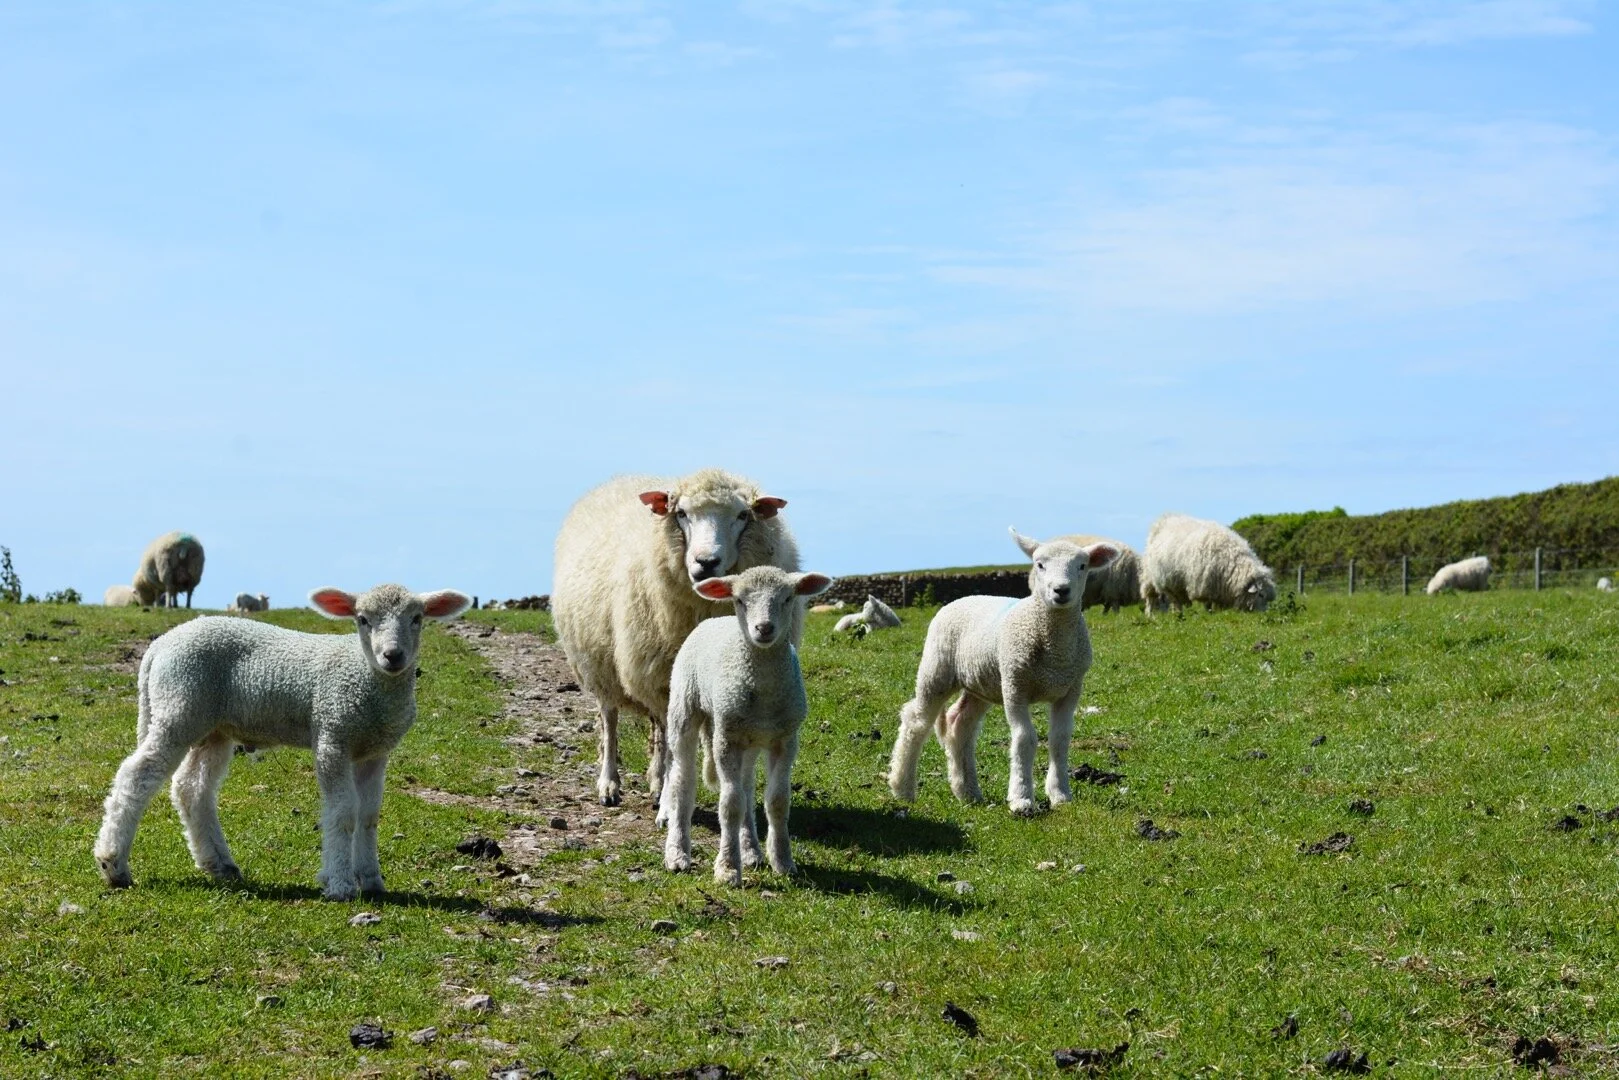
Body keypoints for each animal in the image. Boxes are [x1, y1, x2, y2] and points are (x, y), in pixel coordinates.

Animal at [93, 584, 472, 899]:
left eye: (417, 618)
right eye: (363, 619)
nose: (393, 656)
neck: (366, 679)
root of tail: (159, 646)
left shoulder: (374, 751)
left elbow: (368, 814)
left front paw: (371, 880)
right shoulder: (332, 735)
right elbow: (343, 811)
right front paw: (340, 883)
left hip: (214, 727)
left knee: (191, 788)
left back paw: (219, 863)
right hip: (179, 707)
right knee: (136, 775)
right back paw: (114, 864)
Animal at [552, 469, 801, 807]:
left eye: (742, 515)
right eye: (681, 513)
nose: (706, 562)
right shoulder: (659, 676)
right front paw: (669, 789)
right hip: (601, 666)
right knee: (610, 720)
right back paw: (610, 783)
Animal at [655, 566, 833, 885]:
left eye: (788, 598)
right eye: (739, 600)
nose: (764, 628)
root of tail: (713, 620)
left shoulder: (785, 739)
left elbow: (776, 801)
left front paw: (783, 861)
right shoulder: (727, 739)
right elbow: (731, 804)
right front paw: (727, 868)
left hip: (748, 738)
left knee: (748, 787)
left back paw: (751, 850)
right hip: (685, 710)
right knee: (682, 782)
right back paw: (677, 853)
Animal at [887, 529, 1118, 815]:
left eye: (1082, 566)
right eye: (1039, 564)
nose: (1061, 590)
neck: (1055, 651)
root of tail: (963, 598)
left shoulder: (1071, 689)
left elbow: (1060, 738)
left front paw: (1060, 794)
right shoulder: (1014, 685)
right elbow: (1024, 738)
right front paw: (1021, 799)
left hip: (981, 684)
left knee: (960, 724)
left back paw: (968, 792)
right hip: (937, 669)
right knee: (916, 721)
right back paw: (903, 788)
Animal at [1140, 514, 1275, 614]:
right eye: (1261, 595)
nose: (1263, 614)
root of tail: (1165, 517)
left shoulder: (1218, 589)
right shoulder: (1204, 586)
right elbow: (1207, 604)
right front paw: (1209, 614)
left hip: (1176, 583)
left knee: (1177, 600)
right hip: (1157, 578)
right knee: (1156, 598)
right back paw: (1154, 615)